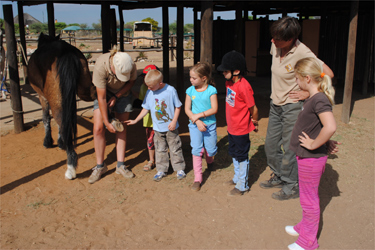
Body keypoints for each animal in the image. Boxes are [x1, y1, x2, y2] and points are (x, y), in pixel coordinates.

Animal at [27, 33, 96, 180]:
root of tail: (65, 51)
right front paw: (60, 142)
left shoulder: (42, 97)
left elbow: (46, 118)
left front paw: (48, 142)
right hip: (85, 90)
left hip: (55, 99)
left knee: (60, 119)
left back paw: (70, 168)